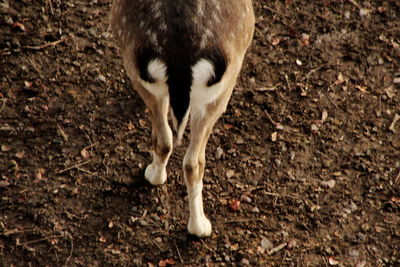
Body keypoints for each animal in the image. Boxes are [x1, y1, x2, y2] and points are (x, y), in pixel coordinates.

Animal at [110, 0, 253, 239]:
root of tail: (179, 58)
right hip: (221, 90)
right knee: (192, 160)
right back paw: (200, 227)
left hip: (136, 64)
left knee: (166, 141)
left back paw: (155, 176)